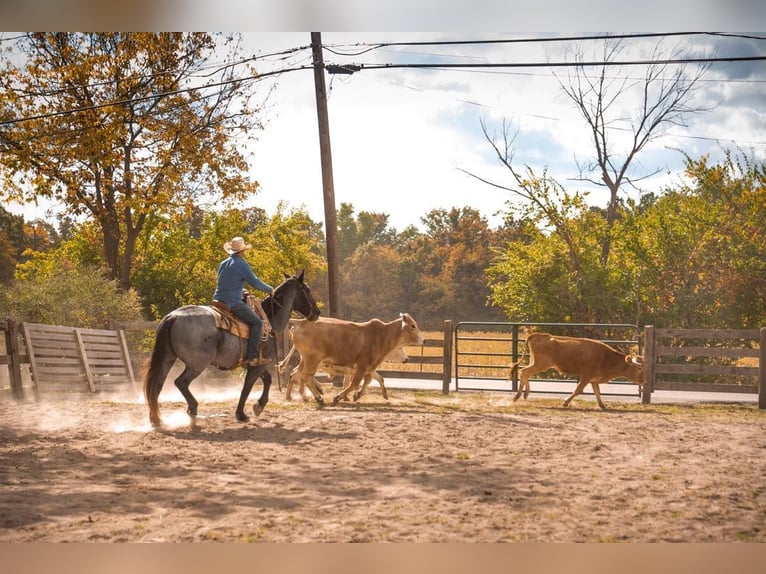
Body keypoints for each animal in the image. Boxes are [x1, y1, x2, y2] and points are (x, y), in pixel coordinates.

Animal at [144, 272, 320, 430]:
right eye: (307, 289)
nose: (317, 313)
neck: (269, 320)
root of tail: (173, 317)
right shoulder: (259, 365)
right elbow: (247, 387)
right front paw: (242, 414)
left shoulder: (256, 363)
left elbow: (267, 379)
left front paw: (258, 406)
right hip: (197, 364)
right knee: (180, 382)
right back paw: (192, 409)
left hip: (167, 359)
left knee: (157, 386)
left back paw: (156, 420)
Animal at [286, 316, 424, 404]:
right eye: (413, 326)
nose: (423, 340)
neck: (381, 336)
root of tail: (301, 322)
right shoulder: (362, 366)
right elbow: (354, 384)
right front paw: (339, 397)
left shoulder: (369, 368)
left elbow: (371, 380)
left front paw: (357, 395)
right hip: (312, 360)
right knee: (305, 376)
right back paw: (318, 397)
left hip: (305, 361)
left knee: (296, 375)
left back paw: (296, 396)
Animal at [510, 332, 648, 410]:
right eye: (639, 368)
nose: (644, 381)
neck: (605, 357)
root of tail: (540, 335)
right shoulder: (586, 376)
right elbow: (578, 390)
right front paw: (565, 402)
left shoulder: (594, 380)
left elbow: (597, 393)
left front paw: (602, 405)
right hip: (541, 364)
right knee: (525, 372)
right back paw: (518, 395)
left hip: (535, 362)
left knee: (525, 372)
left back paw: (524, 394)